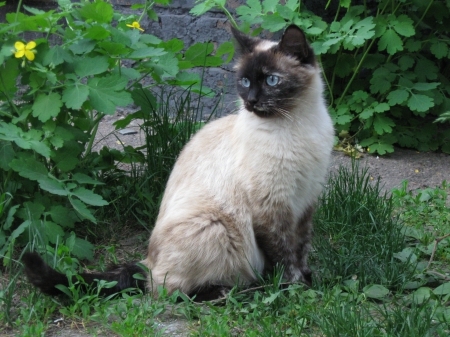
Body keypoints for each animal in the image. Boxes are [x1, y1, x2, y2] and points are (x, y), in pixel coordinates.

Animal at [22, 25, 336, 300]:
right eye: (245, 82)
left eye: (271, 80)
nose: (251, 101)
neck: (296, 124)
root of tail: (147, 263)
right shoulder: (271, 208)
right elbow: (284, 255)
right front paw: (297, 288)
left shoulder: (305, 203)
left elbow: (300, 248)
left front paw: (309, 279)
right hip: (216, 227)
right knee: (167, 290)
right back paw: (230, 292)